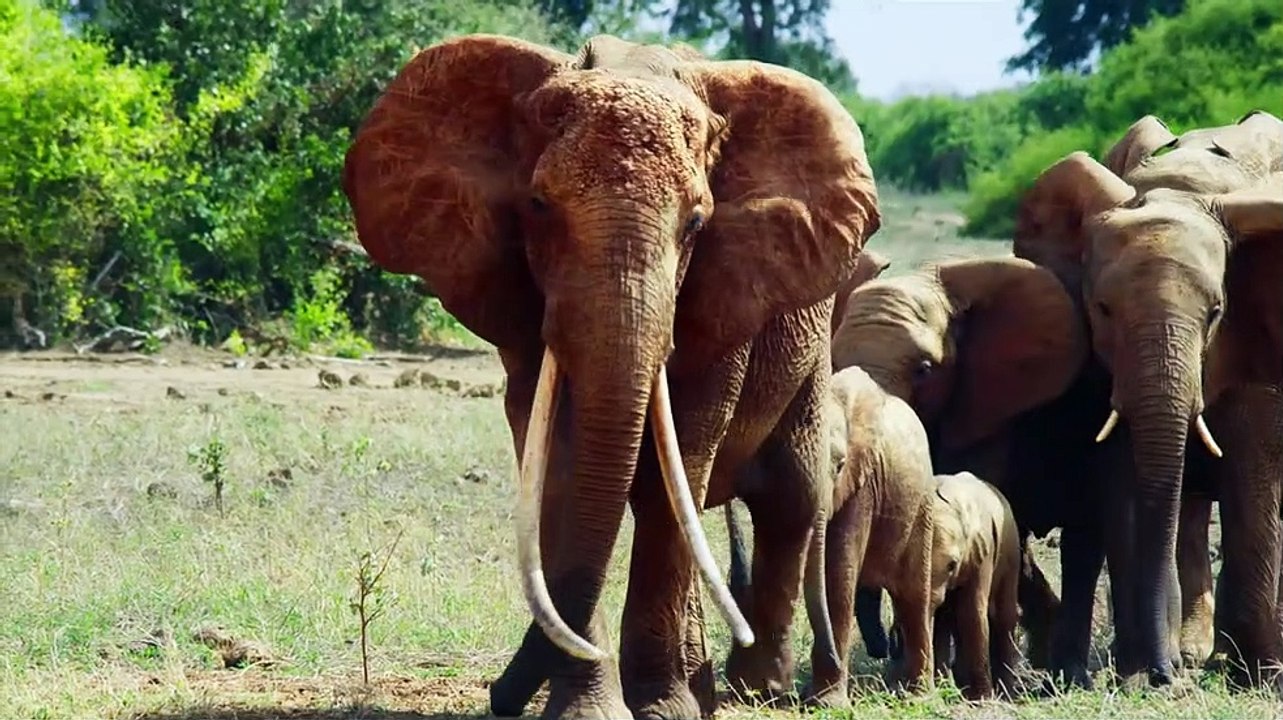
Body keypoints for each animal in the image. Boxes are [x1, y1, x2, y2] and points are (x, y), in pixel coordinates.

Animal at [341, 33, 881, 720]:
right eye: (538, 206)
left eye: (697, 223)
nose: (497, 696)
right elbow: (560, 469)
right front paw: (588, 709)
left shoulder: (726, 292)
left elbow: (677, 468)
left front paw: (662, 710)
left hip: (812, 344)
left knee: (790, 493)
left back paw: (757, 687)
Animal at [803, 365, 940, 708]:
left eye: (839, 465)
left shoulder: (862, 485)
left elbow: (839, 573)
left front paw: (827, 704)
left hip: (921, 509)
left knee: (914, 597)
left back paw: (918, 696)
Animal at [1013, 109, 1283, 689]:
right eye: (1102, 309)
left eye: (1216, 312)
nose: (1165, 675)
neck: (1180, 188)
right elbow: (1125, 474)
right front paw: (1139, 671)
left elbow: (1254, 465)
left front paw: (1258, 676)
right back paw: (1196, 650)